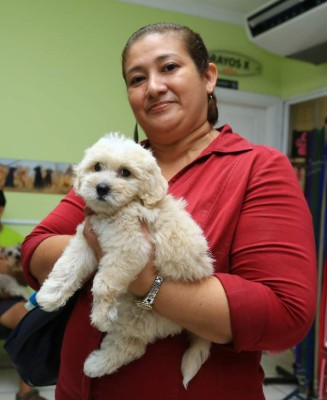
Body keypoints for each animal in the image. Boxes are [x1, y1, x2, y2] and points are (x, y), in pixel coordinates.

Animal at [36, 134, 215, 388]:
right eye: (97, 167)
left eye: (125, 173)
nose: (102, 187)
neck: (118, 210)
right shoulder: (88, 239)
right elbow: (68, 264)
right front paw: (50, 294)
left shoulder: (129, 248)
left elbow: (103, 283)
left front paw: (100, 314)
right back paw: (95, 364)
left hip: (140, 313)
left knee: (131, 346)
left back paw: (95, 363)